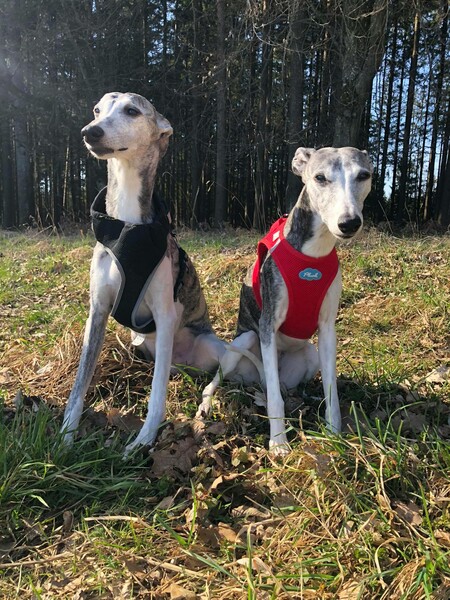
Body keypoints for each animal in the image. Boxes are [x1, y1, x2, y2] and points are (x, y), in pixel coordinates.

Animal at [60, 91, 225, 454]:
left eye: (132, 111)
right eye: (97, 110)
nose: (89, 132)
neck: (127, 227)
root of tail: (183, 363)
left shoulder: (165, 312)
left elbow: (157, 394)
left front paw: (144, 440)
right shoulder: (97, 311)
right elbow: (80, 382)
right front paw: (65, 436)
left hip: (214, 346)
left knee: (217, 375)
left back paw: (204, 404)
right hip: (136, 344)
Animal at [199, 148, 374, 452]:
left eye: (363, 175)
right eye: (320, 178)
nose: (349, 223)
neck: (313, 254)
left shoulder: (327, 330)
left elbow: (331, 391)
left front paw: (333, 434)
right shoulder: (268, 324)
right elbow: (274, 401)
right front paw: (278, 442)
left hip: (310, 355)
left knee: (284, 387)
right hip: (242, 343)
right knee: (220, 382)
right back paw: (207, 404)